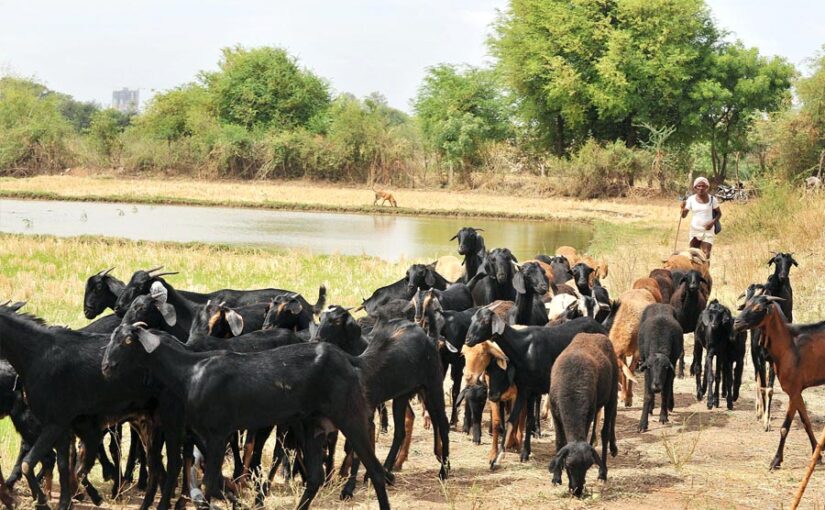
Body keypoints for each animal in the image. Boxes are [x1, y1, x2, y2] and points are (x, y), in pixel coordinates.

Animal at [102, 324, 391, 510]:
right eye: (112, 339)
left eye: (128, 341)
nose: (106, 367)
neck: (190, 372)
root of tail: (351, 361)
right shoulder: (202, 436)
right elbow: (214, 481)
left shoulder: (218, 433)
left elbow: (210, 484)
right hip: (312, 425)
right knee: (315, 478)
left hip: (349, 416)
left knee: (376, 471)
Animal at [548, 333, 618, 497]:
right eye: (569, 465)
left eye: (588, 466)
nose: (577, 491)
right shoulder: (555, 413)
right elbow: (559, 442)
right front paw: (556, 478)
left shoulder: (588, 415)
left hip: (611, 396)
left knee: (606, 430)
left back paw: (603, 473)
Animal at [637, 304, 683, 432]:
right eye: (649, 366)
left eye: (665, 367)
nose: (656, 386)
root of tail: (660, 304)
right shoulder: (646, 370)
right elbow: (647, 396)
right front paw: (642, 424)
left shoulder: (670, 368)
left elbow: (665, 393)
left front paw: (663, 416)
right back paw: (651, 408)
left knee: (670, 385)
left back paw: (670, 404)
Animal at [734, 295, 825, 470]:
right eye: (746, 304)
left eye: (758, 308)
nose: (736, 322)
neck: (788, 346)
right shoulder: (797, 392)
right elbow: (806, 422)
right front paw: (817, 455)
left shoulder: (794, 391)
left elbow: (784, 428)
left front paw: (776, 460)